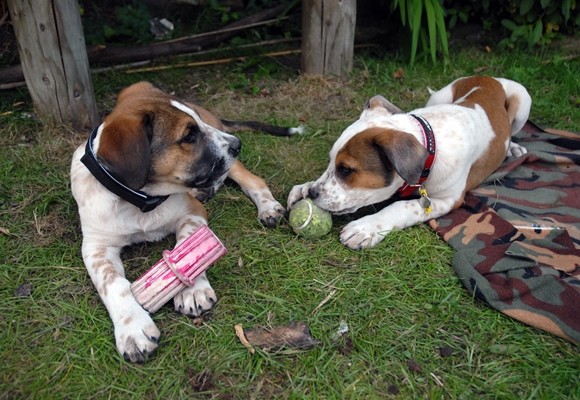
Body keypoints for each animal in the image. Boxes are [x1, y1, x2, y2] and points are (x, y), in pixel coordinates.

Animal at [70, 82, 302, 362]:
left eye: (196, 126)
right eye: (188, 136)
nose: (237, 145)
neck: (142, 203)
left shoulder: (193, 212)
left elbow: (186, 244)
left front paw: (193, 291)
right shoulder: (96, 246)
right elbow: (112, 283)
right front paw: (132, 328)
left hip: (229, 167)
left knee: (253, 180)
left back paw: (267, 207)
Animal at [288, 75, 532, 248]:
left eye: (346, 170)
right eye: (331, 162)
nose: (313, 194)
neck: (430, 139)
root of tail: (488, 77)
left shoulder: (448, 200)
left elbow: (402, 206)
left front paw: (367, 227)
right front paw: (304, 187)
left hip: (523, 100)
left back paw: (514, 148)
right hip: (439, 96)